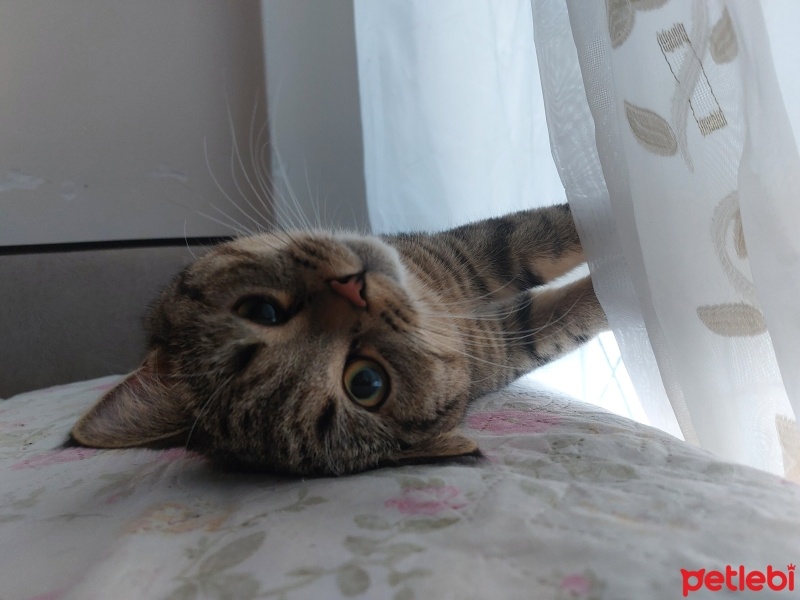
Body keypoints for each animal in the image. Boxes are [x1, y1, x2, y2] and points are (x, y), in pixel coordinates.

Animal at [70, 204, 608, 476]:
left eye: (262, 311)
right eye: (366, 382)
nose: (354, 288)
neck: (442, 314)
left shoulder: (471, 263)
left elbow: (550, 231)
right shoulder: (506, 333)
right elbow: (573, 310)